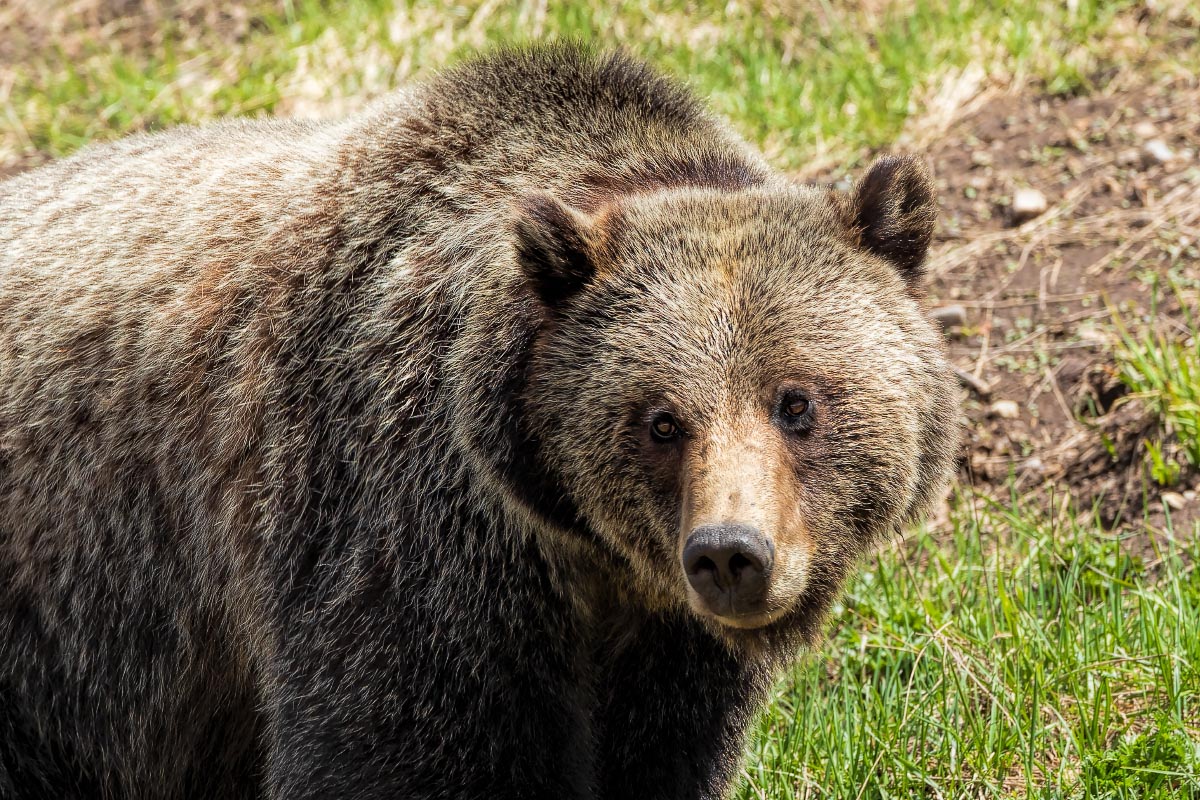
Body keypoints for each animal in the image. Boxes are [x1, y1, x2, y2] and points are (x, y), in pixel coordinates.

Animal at [0, 45, 955, 800]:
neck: (583, 560)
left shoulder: (666, 653)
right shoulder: (405, 536)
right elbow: (398, 750)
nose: (731, 554)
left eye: (797, 402)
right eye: (661, 420)